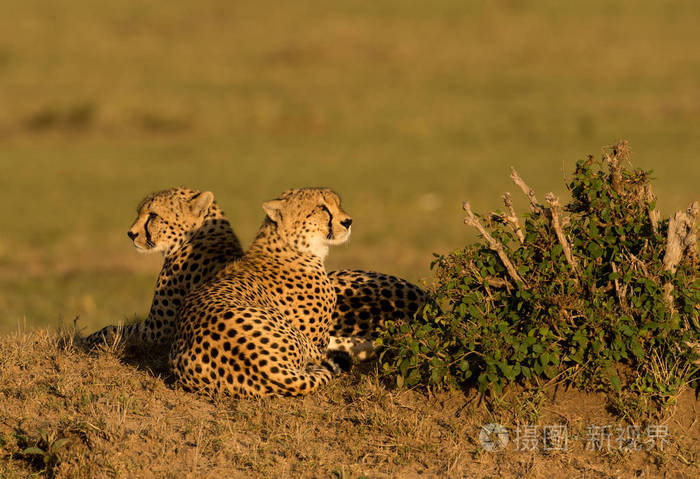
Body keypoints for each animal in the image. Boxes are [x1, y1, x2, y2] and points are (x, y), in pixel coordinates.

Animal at [169, 188, 352, 398]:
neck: (291, 246)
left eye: (337, 203)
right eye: (322, 208)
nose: (348, 222)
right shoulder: (319, 339)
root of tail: (269, 368)